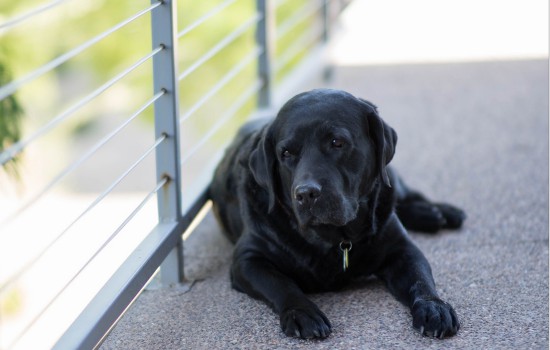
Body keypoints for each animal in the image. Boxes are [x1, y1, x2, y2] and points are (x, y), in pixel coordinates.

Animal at [209, 89, 468, 340]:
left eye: (337, 142)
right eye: (286, 153)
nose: (306, 193)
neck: (333, 239)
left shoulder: (402, 249)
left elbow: (420, 279)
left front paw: (434, 307)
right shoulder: (248, 259)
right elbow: (281, 284)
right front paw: (302, 313)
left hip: (392, 182)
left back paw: (440, 212)